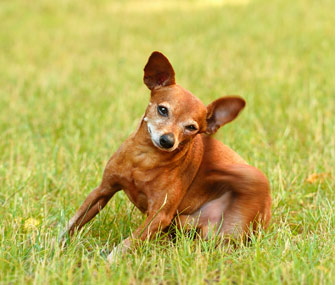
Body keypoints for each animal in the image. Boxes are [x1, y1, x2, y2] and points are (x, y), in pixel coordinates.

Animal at [62, 50, 272, 260]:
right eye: (162, 110)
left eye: (191, 127)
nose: (168, 140)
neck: (144, 159)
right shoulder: (102, 191)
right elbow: (73, 223)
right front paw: (58, 246)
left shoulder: (159, 215)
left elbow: (127, 243)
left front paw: (109, 262)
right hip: (181, 222)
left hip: (247, 188)